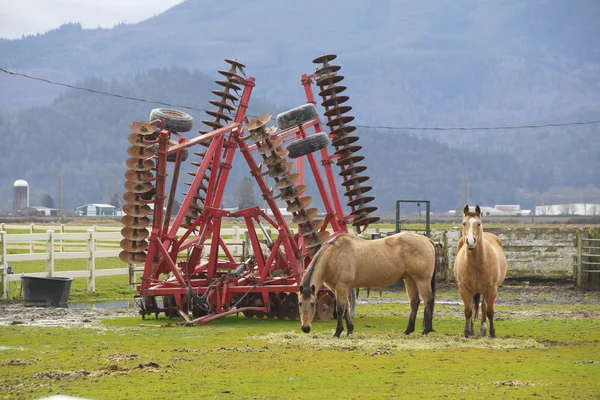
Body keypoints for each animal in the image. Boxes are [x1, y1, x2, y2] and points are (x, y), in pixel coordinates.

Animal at [298, 231, 436, 338]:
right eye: (299, 303)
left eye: (313, 304)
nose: (305, 328)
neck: (333, 255)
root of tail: (426, 239)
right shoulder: (337, 288)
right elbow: (347, 307)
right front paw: (349, 330)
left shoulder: (342, 286)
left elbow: (340, 308)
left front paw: (338, 332)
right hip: (410, 279)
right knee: (414, 302)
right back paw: (408, 331)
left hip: (422, 279)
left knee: (428, 300)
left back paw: (426, 330)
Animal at [454, 206, 506, 338]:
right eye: (464, 223)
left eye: (478, 223)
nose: (470, 241)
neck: (476, 264)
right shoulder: (464, 289)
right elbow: (468, 311)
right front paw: (467, 332)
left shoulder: (491, 289)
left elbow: (489, 312)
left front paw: (492, 332)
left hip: (485, 291)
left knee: (483, 308)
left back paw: (483, 329)